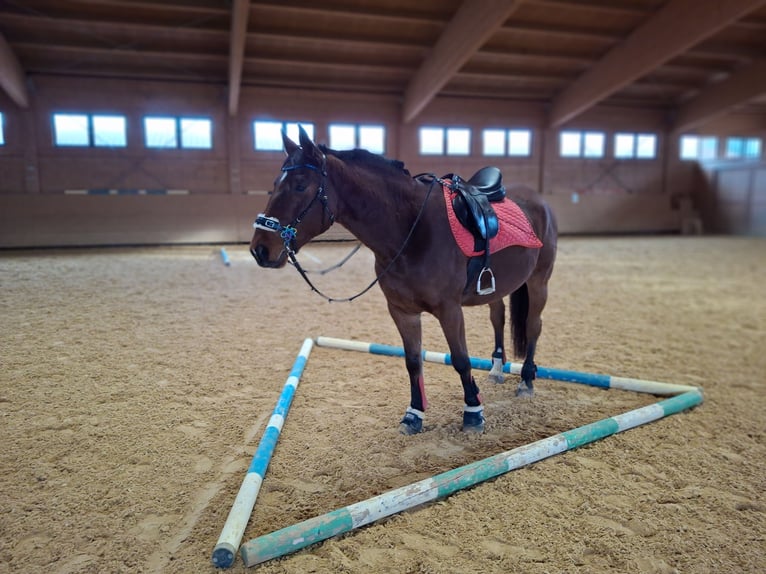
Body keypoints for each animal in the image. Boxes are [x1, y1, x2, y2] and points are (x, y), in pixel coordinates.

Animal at [252, 125, 560, 432]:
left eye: (300, 185)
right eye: (275, 183)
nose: (259, 249)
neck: (412, 228)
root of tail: (538, 200)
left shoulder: (450, 310)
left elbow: (461, 359)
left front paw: (473, 412)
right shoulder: (402, 311)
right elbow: (413, 361)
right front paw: (414, 414)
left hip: (539, 282)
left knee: (533, 326)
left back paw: (526, 381)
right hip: (495, 289)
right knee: (498, 317)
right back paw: (496, 370)